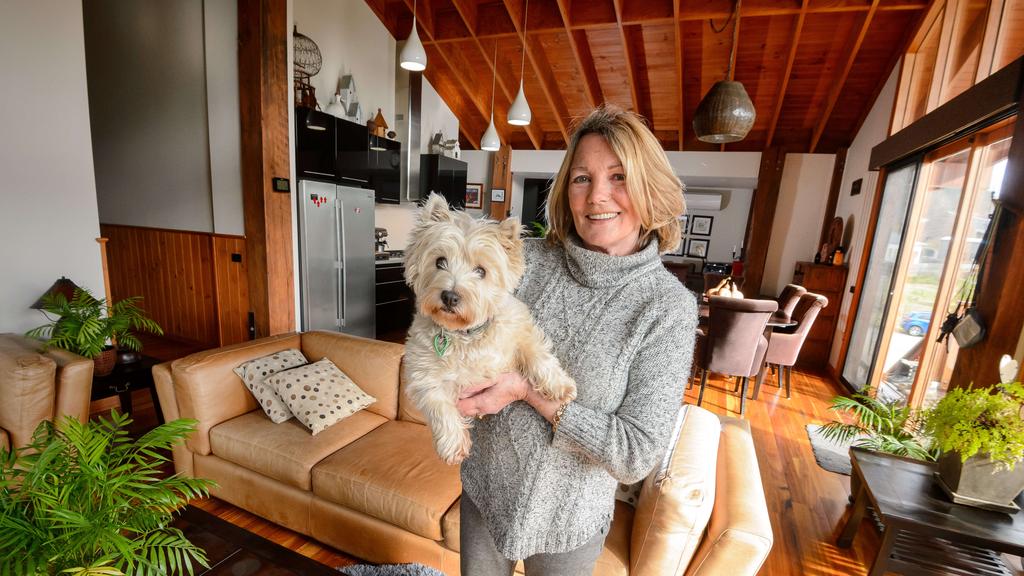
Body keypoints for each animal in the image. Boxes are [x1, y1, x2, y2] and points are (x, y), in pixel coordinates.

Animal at [401, 192, 577, 461]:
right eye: (440, 262)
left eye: (481, 271)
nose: (450, 296)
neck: (466, 334)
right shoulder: (422, 371)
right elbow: (438, 404)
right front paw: (453, 444)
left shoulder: (520, 332)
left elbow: (537, 354)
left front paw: (560, 386)